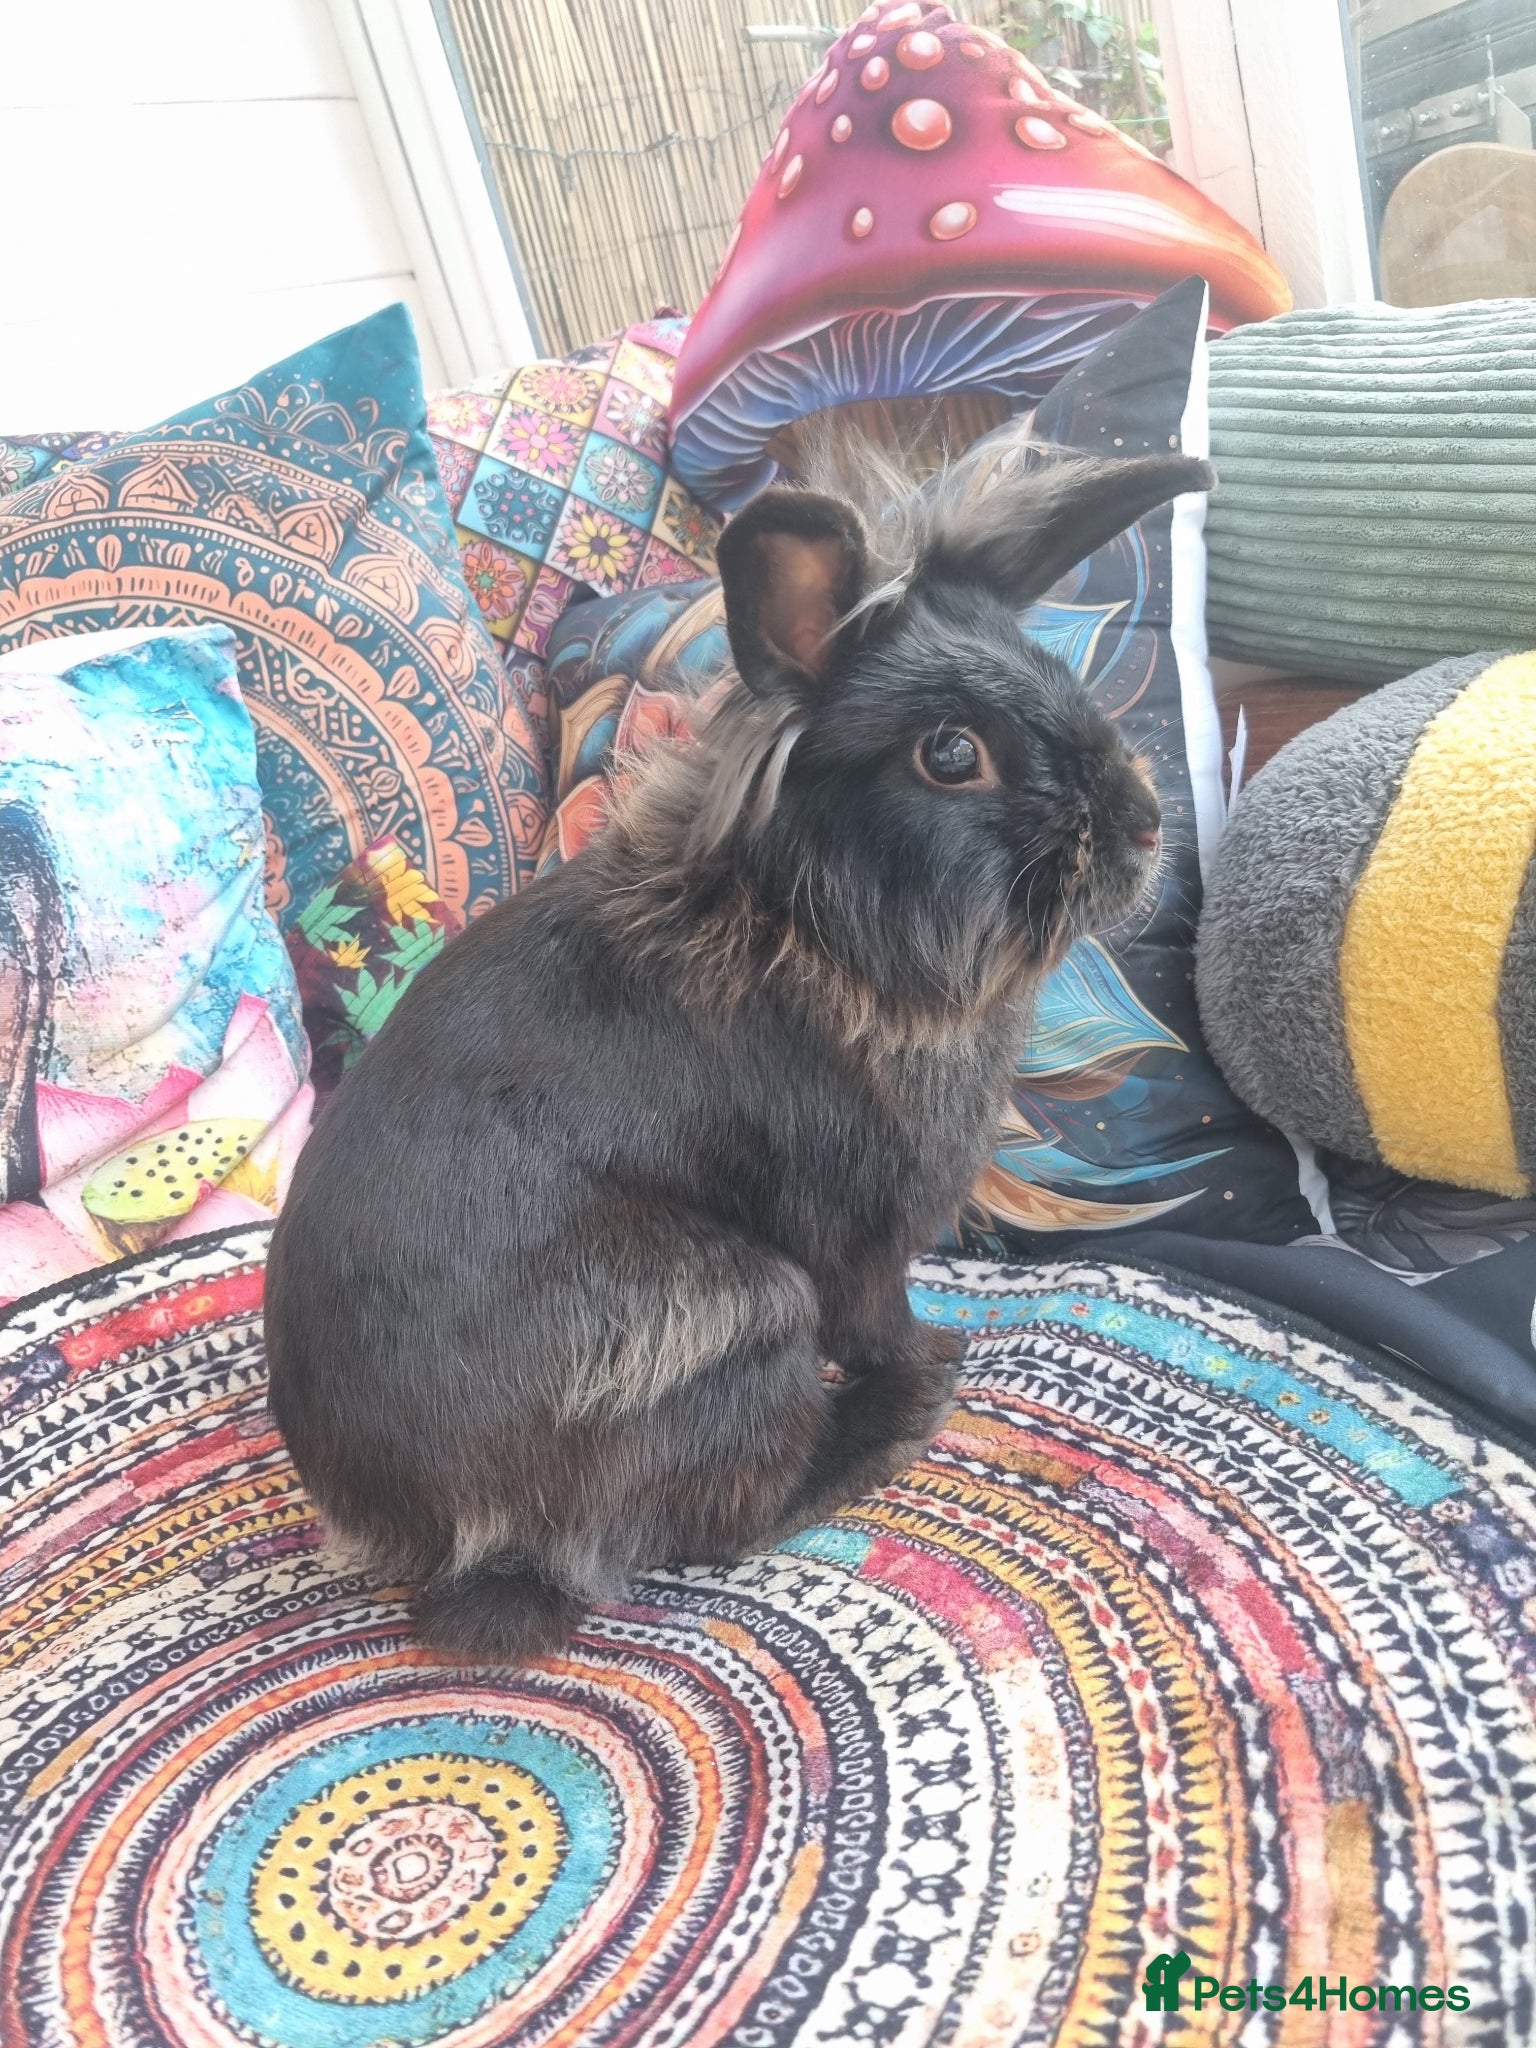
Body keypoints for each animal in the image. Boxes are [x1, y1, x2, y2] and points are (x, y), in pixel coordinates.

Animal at [265, 426, 1211, 1663]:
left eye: (1060, 676)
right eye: (952, 754)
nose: (1143, 826)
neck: (814, 926)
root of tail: (432, 1538)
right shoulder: (856, 1237)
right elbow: (882, 1320)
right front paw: (934, 1362)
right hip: (739, 1314)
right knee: (734, 1508)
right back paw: (892, 1422)